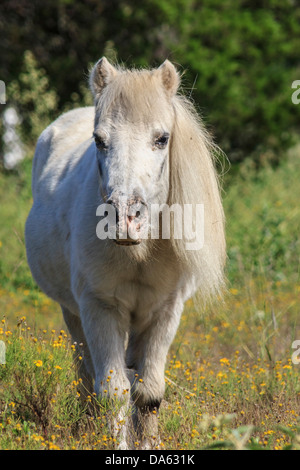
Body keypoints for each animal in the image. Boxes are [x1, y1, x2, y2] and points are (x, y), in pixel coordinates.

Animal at [25, 57, 226, 446]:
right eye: (99, 140)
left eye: (162, 138)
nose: (123, 218)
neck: (139, 252)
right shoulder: (100, 308)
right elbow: (113, 391)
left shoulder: (166, 312)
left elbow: (148, 393)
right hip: (73, 314)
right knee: (86, 374)